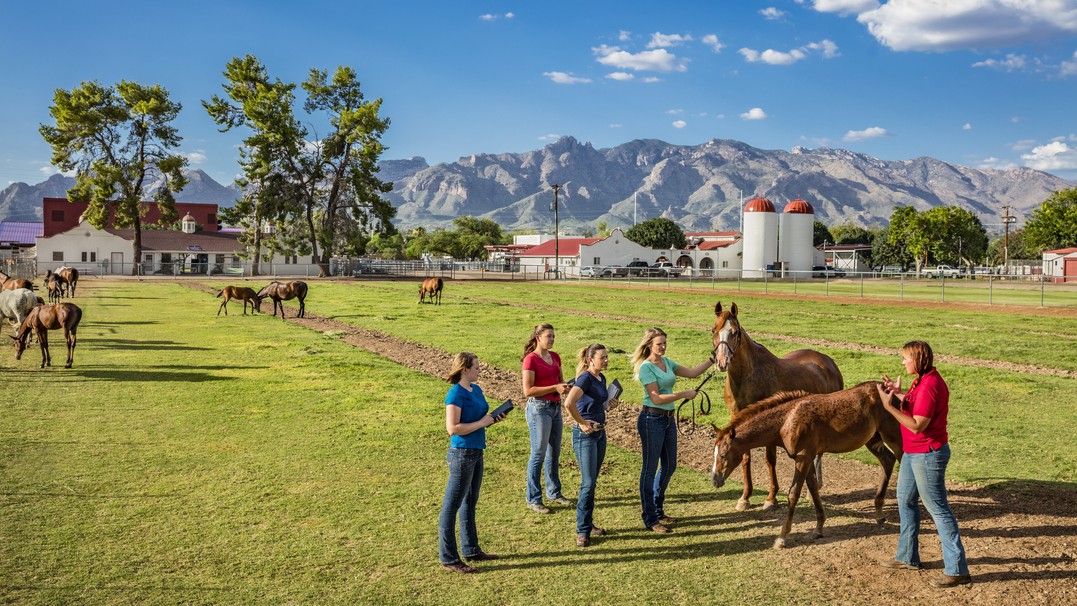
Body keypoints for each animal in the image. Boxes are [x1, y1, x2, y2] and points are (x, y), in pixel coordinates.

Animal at [710, 381, 903, 549]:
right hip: (873, 439)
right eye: (715, 453)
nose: (715, 479)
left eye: (723, 455)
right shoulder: (808, 459)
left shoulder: (803, 457)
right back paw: (879, 513)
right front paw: (818, 529)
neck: (787, 420)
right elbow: (813, 489)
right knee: (888, 461)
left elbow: (793, 493)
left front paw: (782, 537)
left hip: (894, 437)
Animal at [711, 301, 844, 510]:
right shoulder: (738, 417)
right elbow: (745, 458)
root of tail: (828, 362)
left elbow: (770, 459)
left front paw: (771, 498)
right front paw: (745, 497)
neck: (746, 376)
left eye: (735, 332)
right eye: (713, 330)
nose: (722, 362)